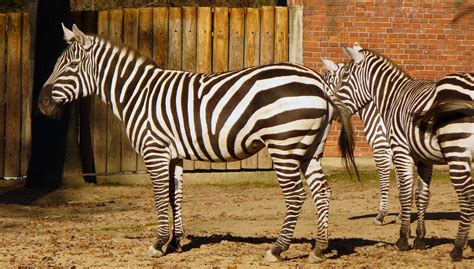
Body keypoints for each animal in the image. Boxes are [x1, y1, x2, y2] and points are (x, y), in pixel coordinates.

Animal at [37, 24, 358, 262]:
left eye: (71, 65)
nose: (41, 104)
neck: (138, 94)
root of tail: (319, 82)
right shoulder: (173, 155)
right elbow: (175, 196)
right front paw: (176, 243)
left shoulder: (154, 150)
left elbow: (159, 197)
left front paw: (158, 244)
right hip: (309, 149)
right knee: (322, 193)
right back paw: (319, 248)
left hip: (284, 145)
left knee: (296, 195)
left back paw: (277, 249)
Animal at [336, 43, 472, 260]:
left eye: (345, 77)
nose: (334, 110)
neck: (393, 97)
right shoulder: (425, 158)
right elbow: (422, 195)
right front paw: (420, 239)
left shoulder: (399, 151)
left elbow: (404, 192)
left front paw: (402, 238)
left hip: (456, 150)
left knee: (467, 196)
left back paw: (457, 248)